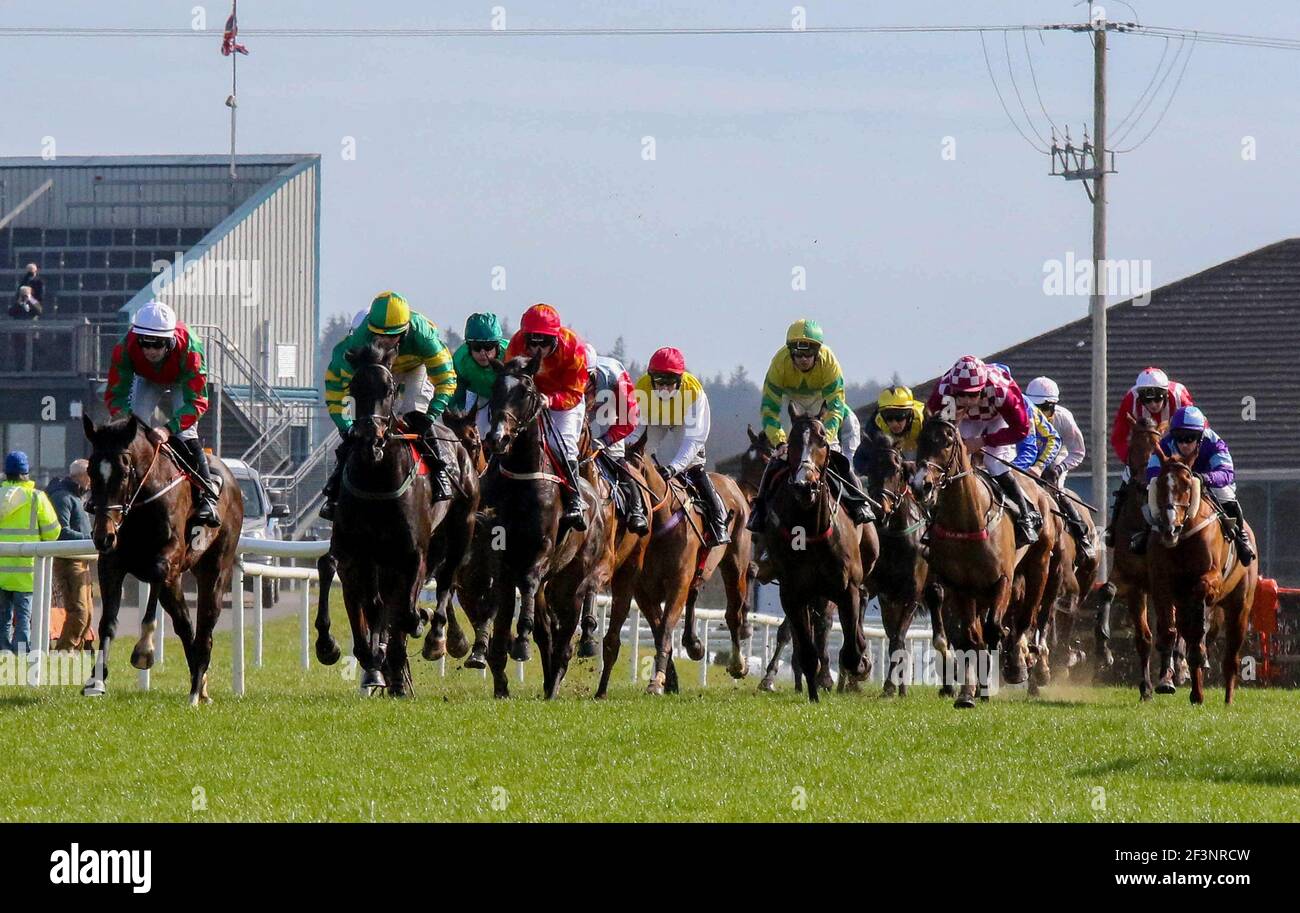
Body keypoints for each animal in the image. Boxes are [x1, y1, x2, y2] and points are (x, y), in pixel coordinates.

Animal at [81, 416, 244, 707]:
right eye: (91, 470)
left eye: (124, 472)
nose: (102, 535)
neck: (142, 504)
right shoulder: (111, 562)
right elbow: (108, 620)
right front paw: (97, 680)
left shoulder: (171, 556)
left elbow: (156, 574)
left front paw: (144, 649)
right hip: (176, 580)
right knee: (185, 625)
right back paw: (199, 683)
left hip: (215, 569)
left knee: (205, 627)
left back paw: (196, 689)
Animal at [483, 358, 613, 702]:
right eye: (494, 387)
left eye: (526, 391)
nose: (498, 438)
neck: (522, 480)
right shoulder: (500, 558)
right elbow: (501, 605)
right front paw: (496, 670)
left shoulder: (540, 552)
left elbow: (528, 584)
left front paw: (521, 642)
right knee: (549, 629)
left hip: (575, 576)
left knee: (566, 632)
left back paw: (555, 678)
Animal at [759, 403, 868, 702]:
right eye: (793, 441)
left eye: (822, 440)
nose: (804, 484)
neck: (811, 529)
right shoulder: (793, 594)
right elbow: (806, 651)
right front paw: (813, 694)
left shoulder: (847, 589)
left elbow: (851, 650)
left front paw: (857, 667)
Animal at [909, 416, 1060, 707]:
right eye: (920, 441)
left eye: (946, 442)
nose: (921, 485)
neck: (968, 520)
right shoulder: (960, 586)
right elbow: (970, 637)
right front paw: (968, 693)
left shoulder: (1003, 580)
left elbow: (994, 629)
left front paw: (999, 677)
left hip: (1040, 566)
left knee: (1028, 617)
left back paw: (1021, 662)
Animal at [1149, 457, 1258, 707]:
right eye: (1160, 484)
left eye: (1187, 485)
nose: (1170, 529)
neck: (1183, 539)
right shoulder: (1161, 583)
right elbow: (1171, 630)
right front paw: (1168, 682)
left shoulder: (1211, 579)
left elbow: (1199, 604)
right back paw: (1196, 691)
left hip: (1241, 606)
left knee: (1231, 656)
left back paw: (1227, 700)